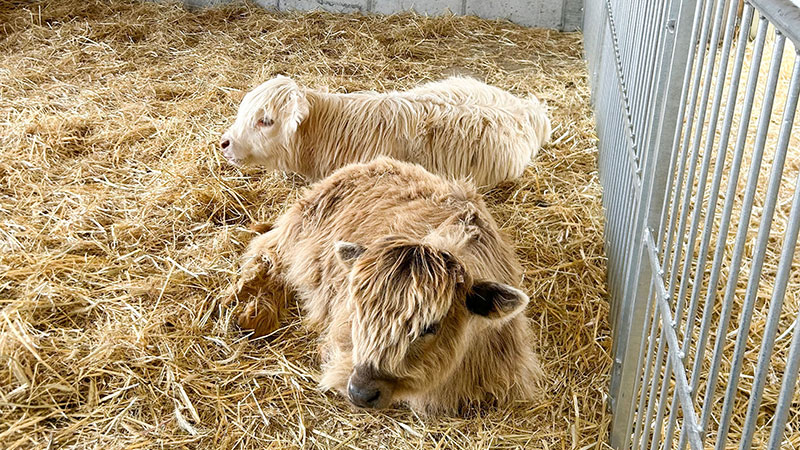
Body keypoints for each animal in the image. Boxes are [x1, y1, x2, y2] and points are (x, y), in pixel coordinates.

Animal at [222, 157, 543, 414]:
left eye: (430, 327)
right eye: (357, 311)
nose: (361, 392)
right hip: (296, 231)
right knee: (267, 255)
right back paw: (250, 312)